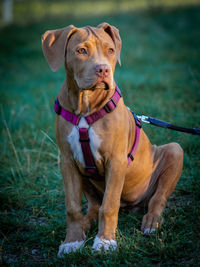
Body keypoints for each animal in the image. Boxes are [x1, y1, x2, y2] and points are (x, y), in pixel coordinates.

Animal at [41, 23, 184, 258]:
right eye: (81, 51)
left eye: (110, 50)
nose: (103, 70)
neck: (86, 106)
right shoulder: (67, 161)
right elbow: (73, 206)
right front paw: (72, 241)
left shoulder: (115, 161)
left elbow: (109, 205)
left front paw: (105, 241)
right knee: (92, 206)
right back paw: (85, 224)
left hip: (174, 150)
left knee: (157, 199)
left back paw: (151, 222)